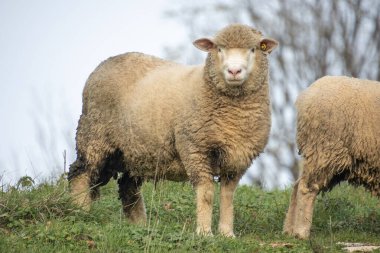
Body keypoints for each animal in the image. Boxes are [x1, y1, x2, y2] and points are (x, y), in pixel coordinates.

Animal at [67, 24, 280, 237]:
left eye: (253, 49)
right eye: (219, 49)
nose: (234, 70)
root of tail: (104, 63)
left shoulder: (238, 159)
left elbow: (228, 196)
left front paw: (227, 234)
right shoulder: (195, 149)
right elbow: (206, 193)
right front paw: (205, 232)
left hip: (135, 151)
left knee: (128, 188)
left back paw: (139, 225)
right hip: (95, 134)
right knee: (81, 172)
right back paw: (81, 209)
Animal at [284, 75, 378, 239]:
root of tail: (305, 96)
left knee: (297, 186)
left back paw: (289, 231)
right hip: (324, 150)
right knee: (306, 188)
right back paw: (301, 233)